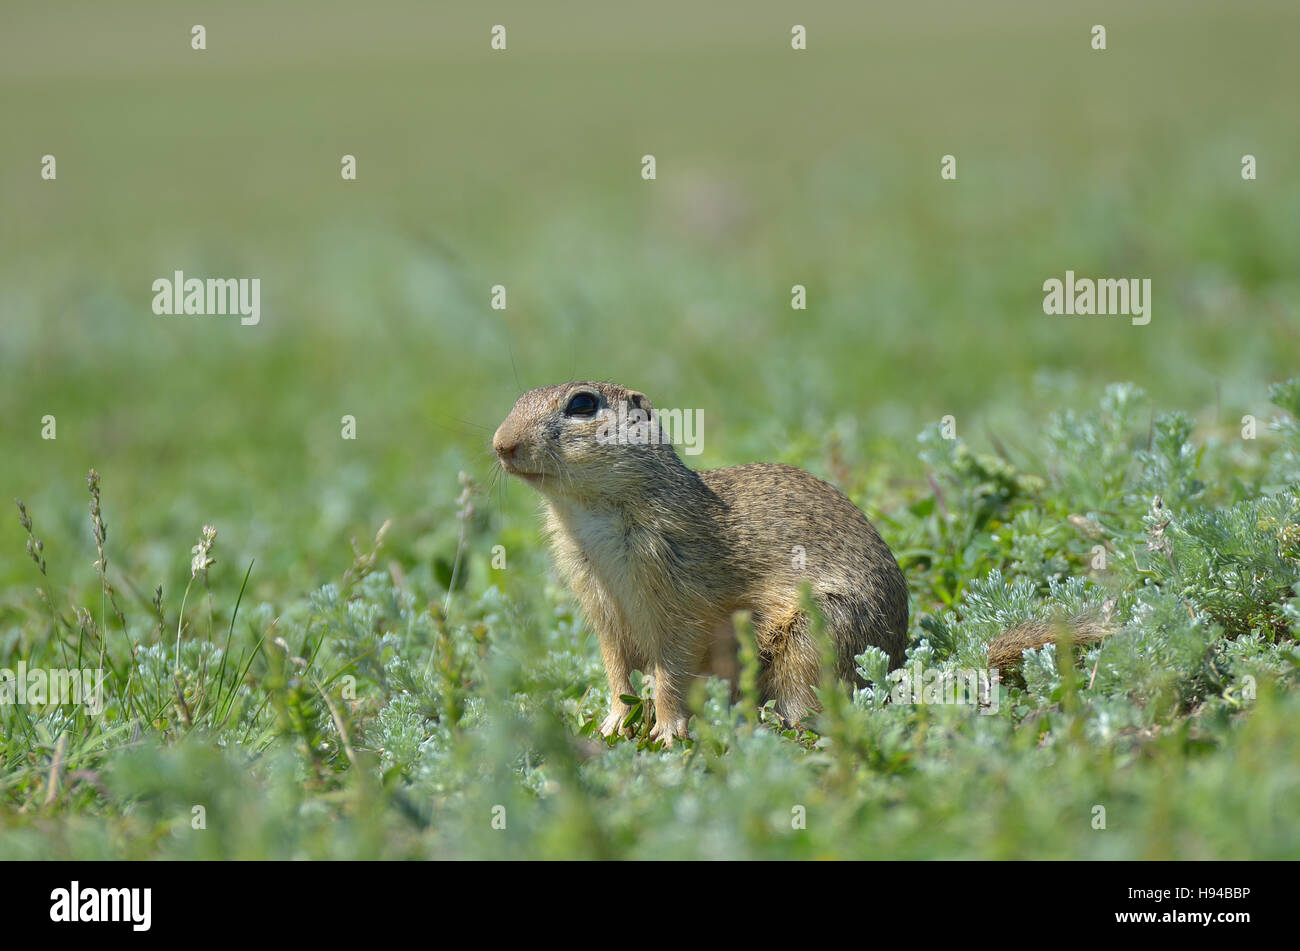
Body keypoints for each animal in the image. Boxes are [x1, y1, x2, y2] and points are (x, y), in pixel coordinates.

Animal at [494, 381, 1109, 745]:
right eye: (518, 396)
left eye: (582, 404)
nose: (500, 445)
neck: (588, 517)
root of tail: (897, 663)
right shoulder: (602, 609)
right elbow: (617, 673)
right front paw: (612, 727)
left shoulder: (679, 602)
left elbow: (671, 674)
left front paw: (667, 735)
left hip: (814, 638)